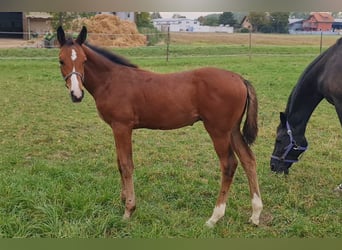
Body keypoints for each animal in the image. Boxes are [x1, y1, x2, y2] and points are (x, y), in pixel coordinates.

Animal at [57, 25, 264, 227]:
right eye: (61, 61)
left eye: (84, 60)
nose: (76, 94)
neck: (111, 80)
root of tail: (239, 78)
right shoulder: (117, 128)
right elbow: (119, 163)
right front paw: (123, 200)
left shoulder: (122, 126)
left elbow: (126, 165)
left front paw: (129, 210)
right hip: (232, 130)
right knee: (248, 160)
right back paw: (255, 214)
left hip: (218, 131)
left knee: (229, 164)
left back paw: (215, 217)